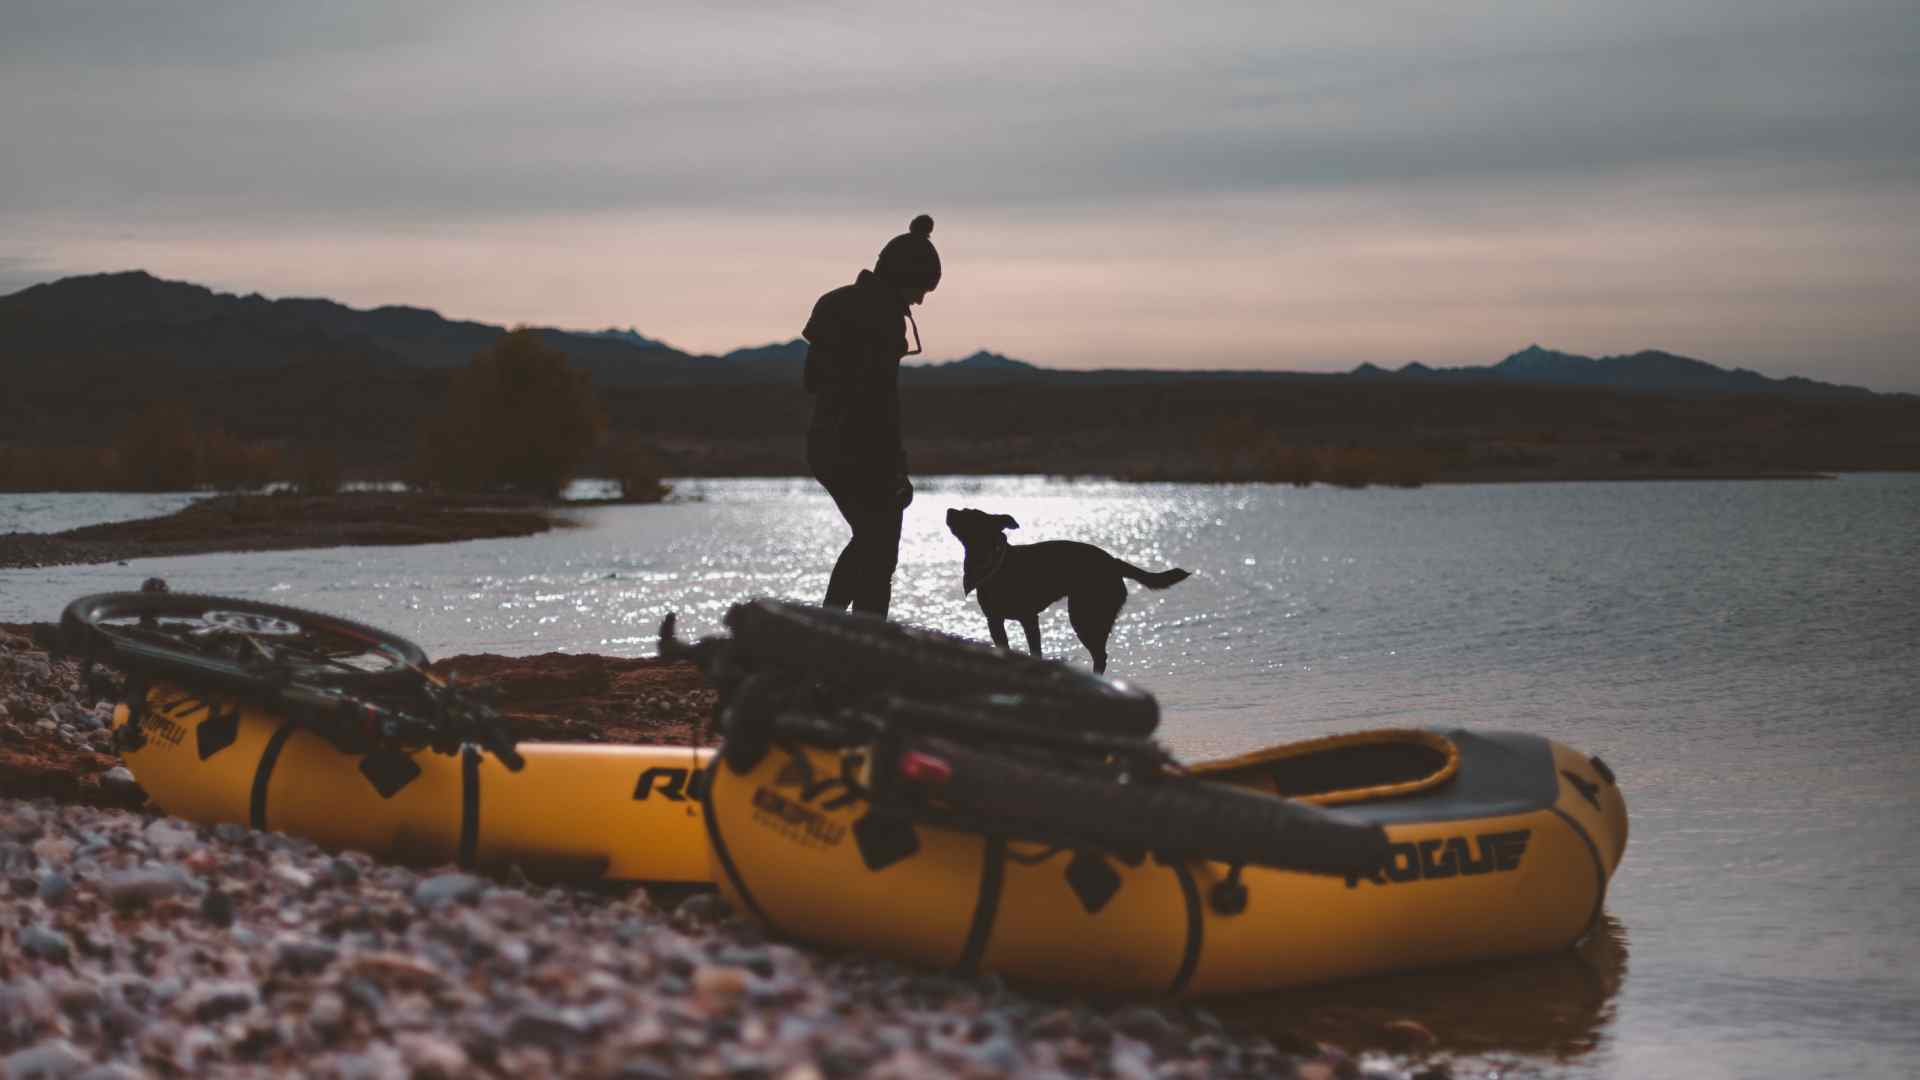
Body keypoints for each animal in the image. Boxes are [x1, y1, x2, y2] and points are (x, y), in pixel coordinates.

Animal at [940, 507, 1182, 672]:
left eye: (970, 515)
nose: (949, 509)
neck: (995, 563)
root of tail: (1114, 562)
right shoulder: (994, 621)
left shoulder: (1029, 619)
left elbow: (1035, 652)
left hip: (1084, 616)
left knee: (1100, 656)